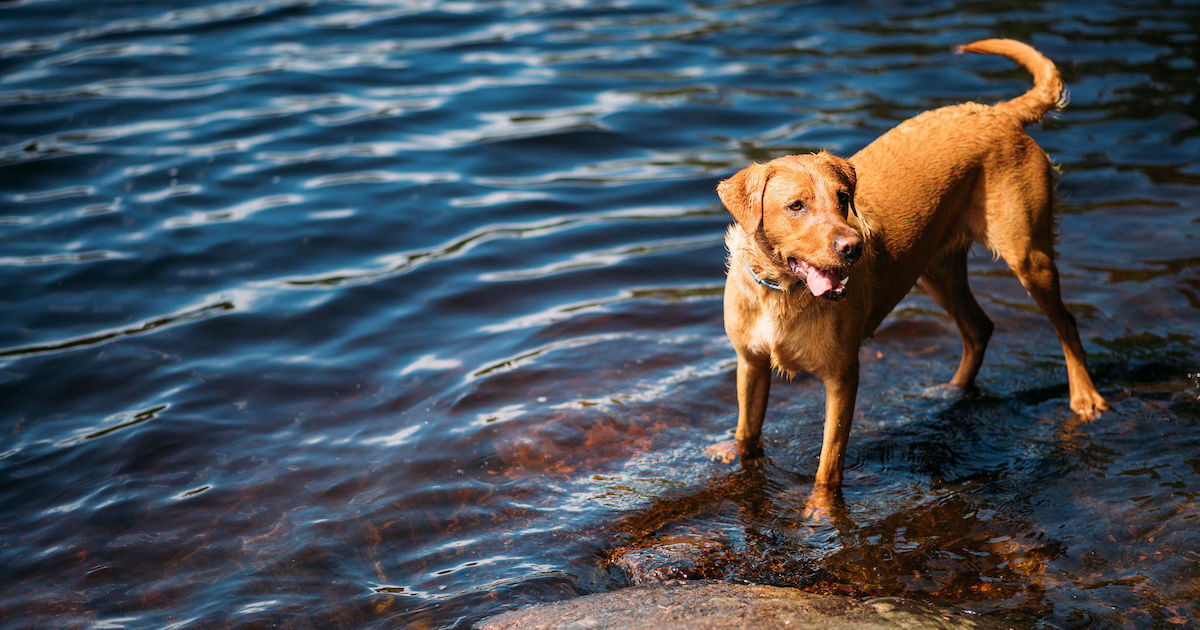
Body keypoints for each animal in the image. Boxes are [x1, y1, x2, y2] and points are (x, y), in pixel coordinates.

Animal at [710, 39, 1104, 489]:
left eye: (843, 198)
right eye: (796, 205)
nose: (853, 247)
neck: (782, 294)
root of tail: (999, 112)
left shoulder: (842, 375)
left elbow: (829, 463)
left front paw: (819, 504)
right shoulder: (750, 363)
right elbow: (747, 432)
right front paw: (737, 455)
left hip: (1028, 254)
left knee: (1065, 323)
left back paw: (1085, 398)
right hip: (938, 268)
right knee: (978, 327)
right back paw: (950, 391)